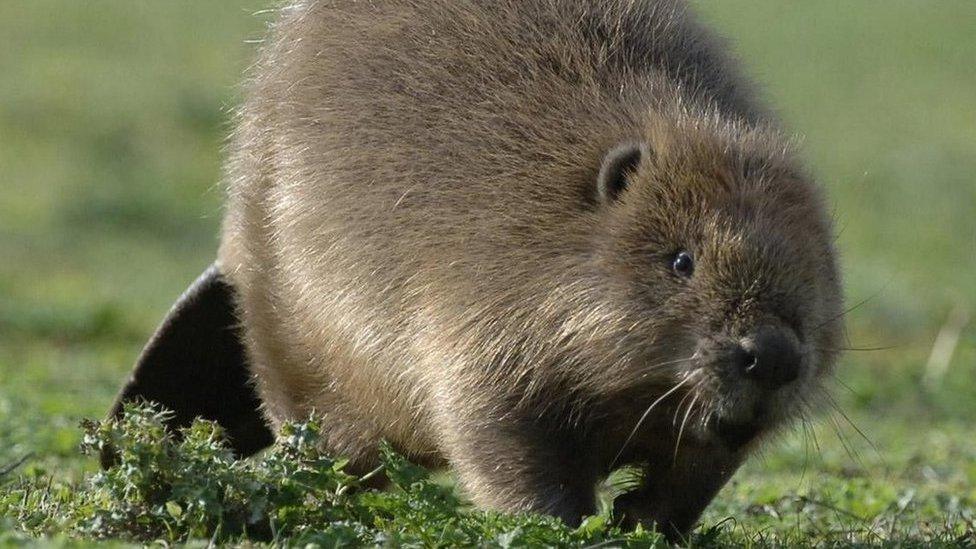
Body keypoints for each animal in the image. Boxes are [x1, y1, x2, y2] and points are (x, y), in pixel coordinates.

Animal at [105, 0, 840, 540]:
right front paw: (568, 524)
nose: (771, 354)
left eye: (816, 272)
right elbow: (498, 438)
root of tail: (226, 259)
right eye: (681, 260)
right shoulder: (476, 323)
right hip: (281, 314)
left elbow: (701, 467)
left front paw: (639, 519)